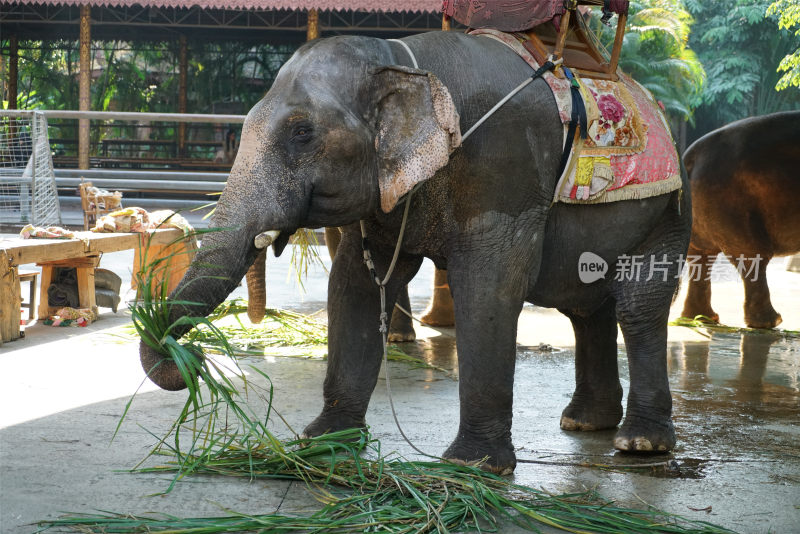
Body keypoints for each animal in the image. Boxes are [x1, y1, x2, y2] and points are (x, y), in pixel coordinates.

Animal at [144, 31, 692, 476]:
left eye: (302, 133)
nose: (190, 356)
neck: (404, 61)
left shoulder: (504, 171)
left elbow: (489, 287)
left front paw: (473, 466)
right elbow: (354, 285)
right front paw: (324, 443)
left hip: (668, 208)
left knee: (638, 307)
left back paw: (639, 443)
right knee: (584, 306)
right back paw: (584, 424)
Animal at [680, 112, 800, 330]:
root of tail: (690, 156)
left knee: (700, 256)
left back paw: (701, 319)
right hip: (732, 206)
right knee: (753, 256)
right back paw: (770, 323)